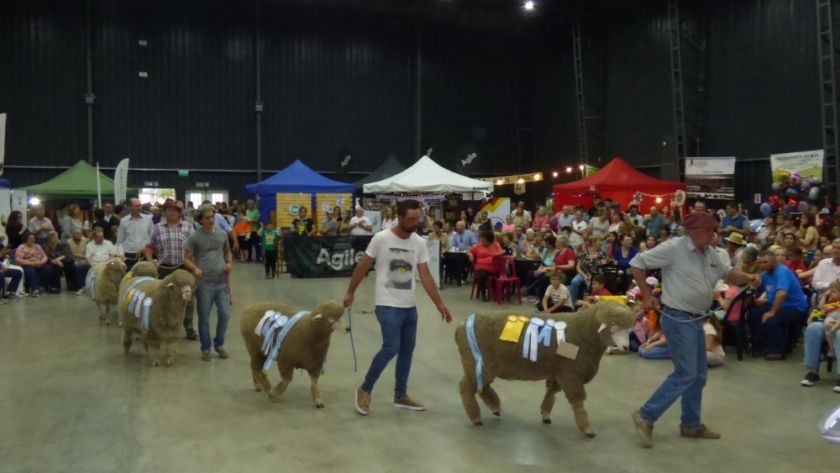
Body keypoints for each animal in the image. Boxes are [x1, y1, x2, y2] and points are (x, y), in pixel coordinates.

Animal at [456, 300, 632, 436]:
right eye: (614, 327)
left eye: (628, 329)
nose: (626, 347)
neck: (584, 332)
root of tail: (463, 325)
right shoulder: (571, 374)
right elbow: (578, 401)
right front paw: (587, 428)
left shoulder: (560, 372)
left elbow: (551, 393)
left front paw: (545, 413)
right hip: (476, 362)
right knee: (466, 387)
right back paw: (476, 417)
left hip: (483, 365)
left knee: (482, 386)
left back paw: (495, 407)